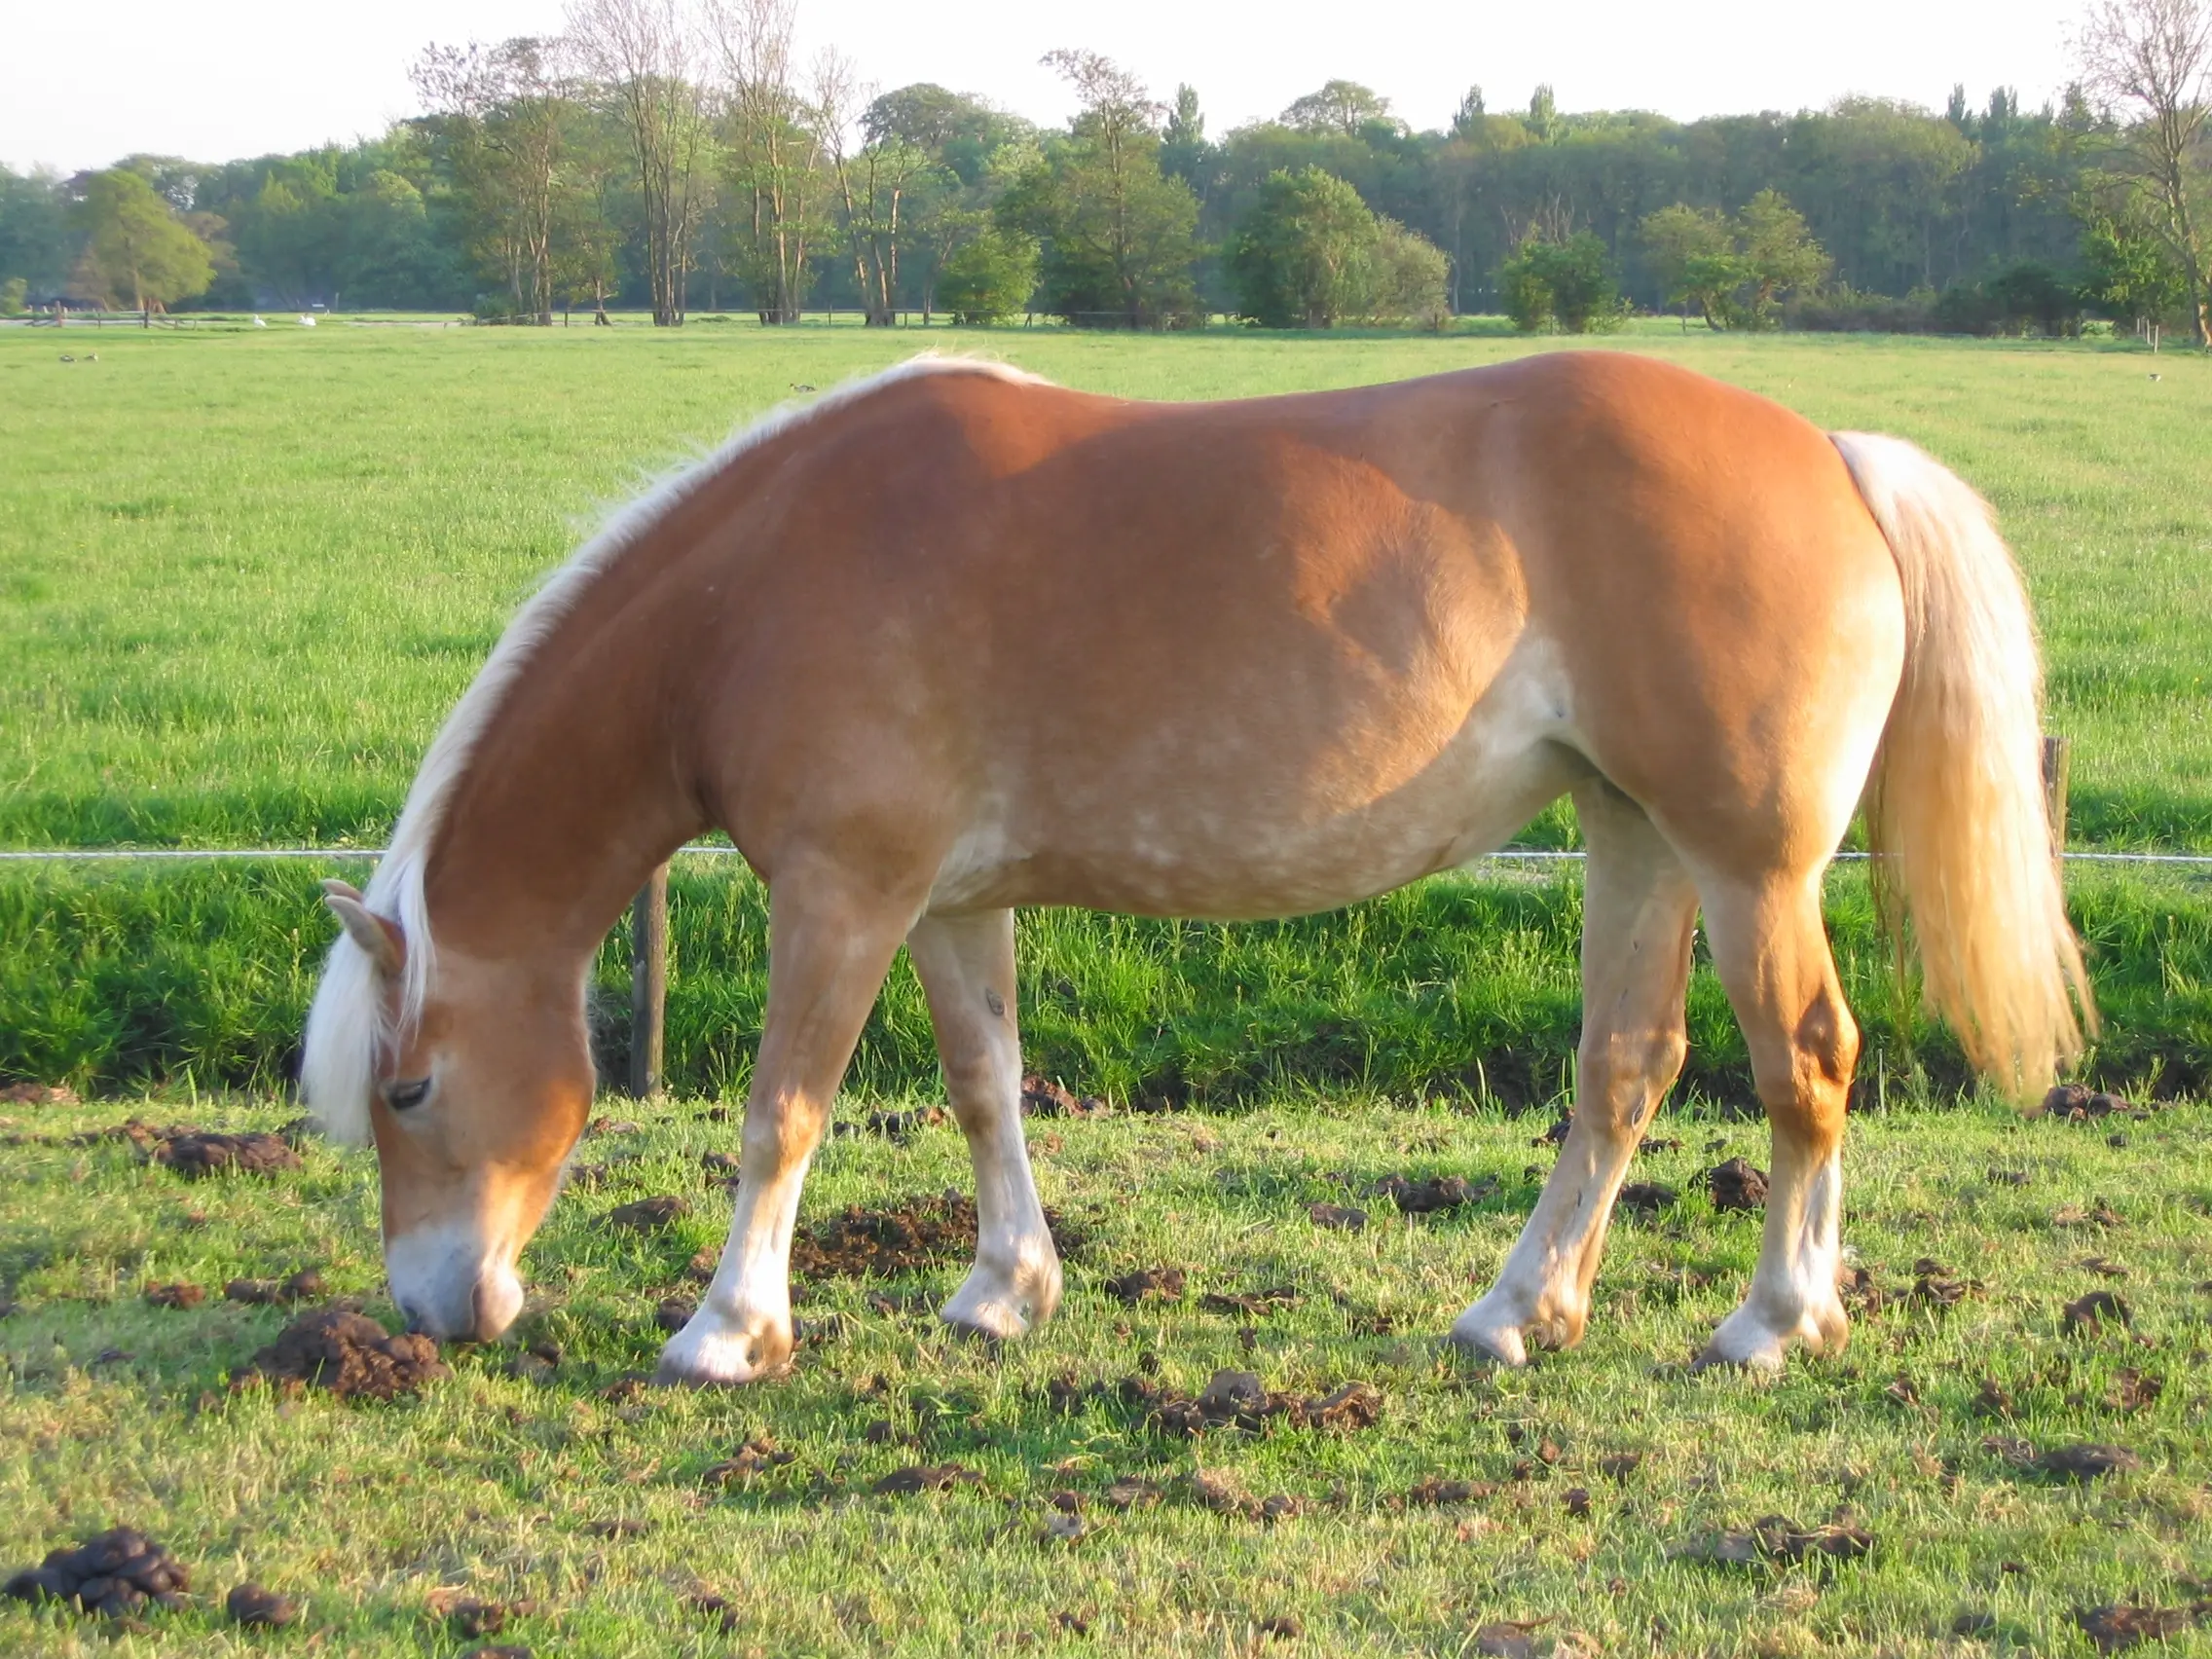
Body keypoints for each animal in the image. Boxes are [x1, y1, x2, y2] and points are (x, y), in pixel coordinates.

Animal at [303, 353, 2079, 1388]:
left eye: (407, 1090)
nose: (432, 1310)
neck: (757, 586)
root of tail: (1832, 454)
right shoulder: (946, 903)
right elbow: (984, 1087)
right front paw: (1004, 1292)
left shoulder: (841, 894)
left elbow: (780, 1111)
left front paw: (727, 1328)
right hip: (1634, 832)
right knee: (1626, 1068)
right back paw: (1519, 1310)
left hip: (1743, 860)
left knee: (1808, 1062)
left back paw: (1774, 1320)